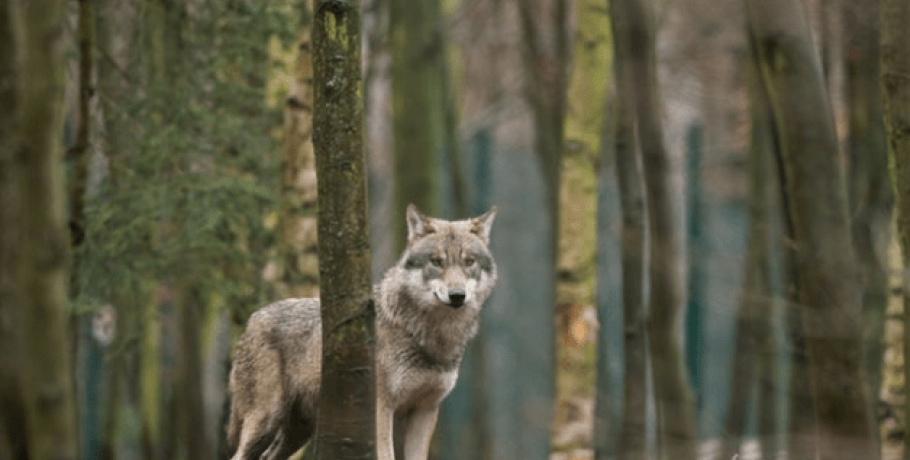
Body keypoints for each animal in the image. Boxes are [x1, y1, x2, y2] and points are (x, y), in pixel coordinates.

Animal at [227, 205, 498, 460]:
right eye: (436, 261)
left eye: (469, 262)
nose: (457, 295)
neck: (432, 335)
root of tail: (252, 318)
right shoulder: (382, 408)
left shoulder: (426, 410)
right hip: (266, 421)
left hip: (298, 431)